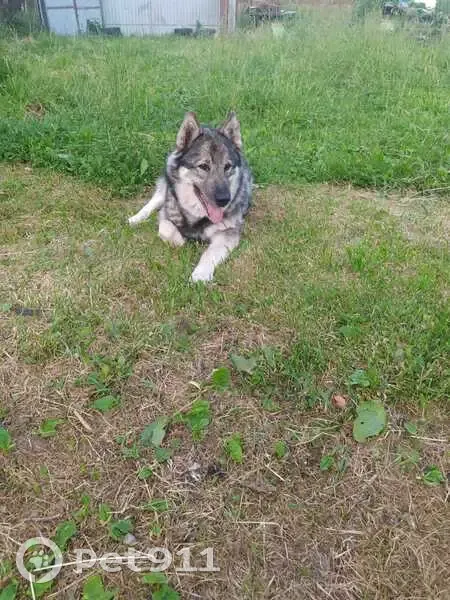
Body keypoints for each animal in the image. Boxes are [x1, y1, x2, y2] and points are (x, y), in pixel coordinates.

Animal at [128, 111, 252, 282]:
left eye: (227, 167)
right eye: (204, 166)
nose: (224, 200)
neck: (197, 216)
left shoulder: (229, 233)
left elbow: (210, 253)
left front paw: (201, 274)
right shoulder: (165, 215)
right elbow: (165, 228)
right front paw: (179, 241)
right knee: (153, 201)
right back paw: (135, 218)